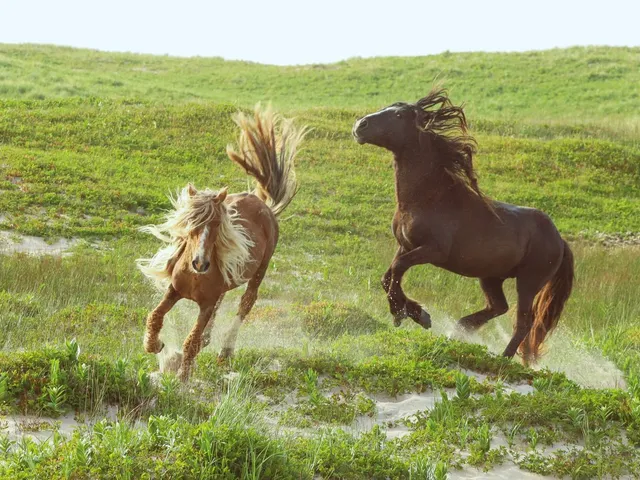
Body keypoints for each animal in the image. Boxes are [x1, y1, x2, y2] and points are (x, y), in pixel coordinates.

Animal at [137, 105, 308, 381]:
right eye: (191, 223)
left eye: (217, 224)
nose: (200, 263)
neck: (195, 278)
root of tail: (264, 205)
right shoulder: (173, 290)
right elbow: (155, 316)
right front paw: (156, 345)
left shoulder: (205, 306)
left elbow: (190, 341)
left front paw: (183, 379)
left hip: (260, 270)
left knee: (246, 303)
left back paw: (225, 352)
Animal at [352, 87, 574, 364]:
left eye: (399, 114)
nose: (360, 125)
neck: (427, 198)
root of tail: (560, 240)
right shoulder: (405, 245)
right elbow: (389, 276)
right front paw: (419, 315)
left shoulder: (433, 251)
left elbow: (398, 269)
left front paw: (401, 313)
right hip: (491, 277)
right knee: (499, 307)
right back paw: (460, 328)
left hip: (528, 281)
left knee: (524, 321)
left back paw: (502, 358)